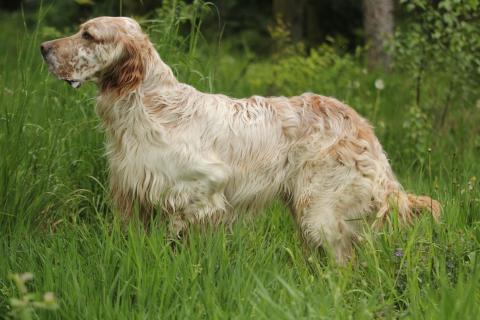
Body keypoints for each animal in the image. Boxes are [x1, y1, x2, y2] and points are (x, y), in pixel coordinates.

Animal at [40, 16, 438, 262]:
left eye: (88, 35)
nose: (43, 47)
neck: (148, 103)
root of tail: (360, 125)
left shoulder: (202, 191)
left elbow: (180, 240)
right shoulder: (133, 194)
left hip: (321, 212)